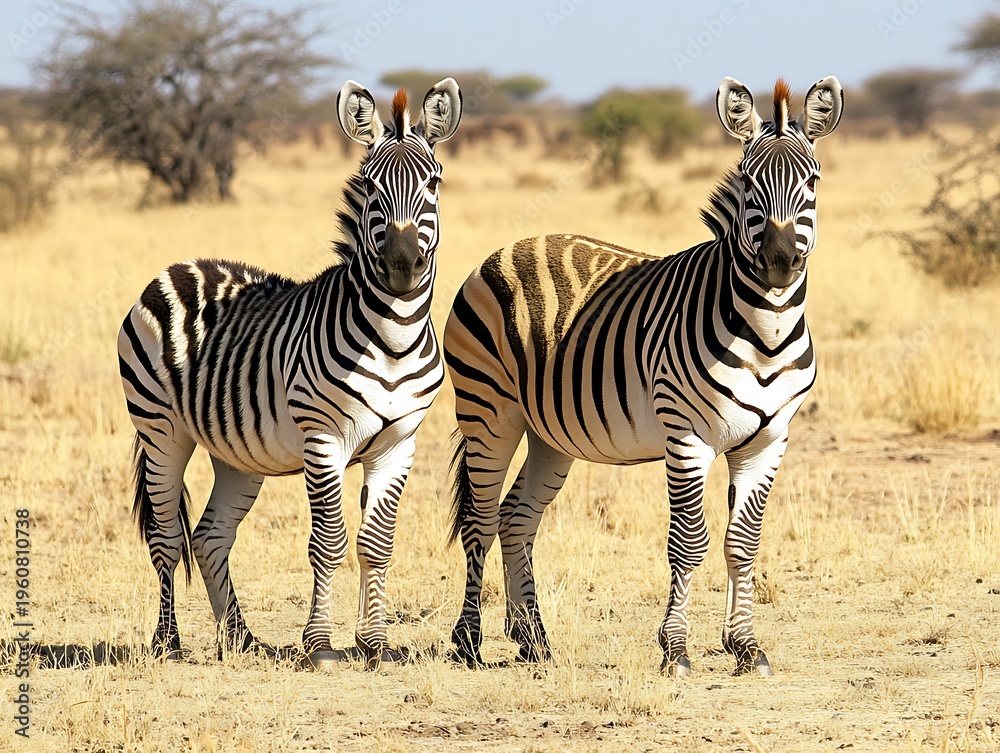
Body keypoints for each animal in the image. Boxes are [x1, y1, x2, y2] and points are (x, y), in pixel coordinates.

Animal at [117, 78, 462, 670]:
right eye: (370, 186)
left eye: (433, 183)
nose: (401, 265)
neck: (392, 339)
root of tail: (180, 265)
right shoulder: (323, 439)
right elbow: (329, 543)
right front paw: (321, 646)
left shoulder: (400, 443)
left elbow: (377, 543)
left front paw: (374, 645)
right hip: (161, 430)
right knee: (166, 538)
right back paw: (168, 643)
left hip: (235, 451)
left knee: (209, 536)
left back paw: (240, 638)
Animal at [444, 76, 842, 676]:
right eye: (749, 181)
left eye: (812, 182)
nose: (778, 261)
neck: (765, 333)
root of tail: (509, 247)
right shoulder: (687, 435)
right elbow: (690, 542)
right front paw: (675, 649)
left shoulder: (769, 439)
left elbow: (743, 542)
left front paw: (745, 646)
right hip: (488, 412)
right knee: (479, 519)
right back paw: (468, 641)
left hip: (549, 433)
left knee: (516, 518)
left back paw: (533, 639)